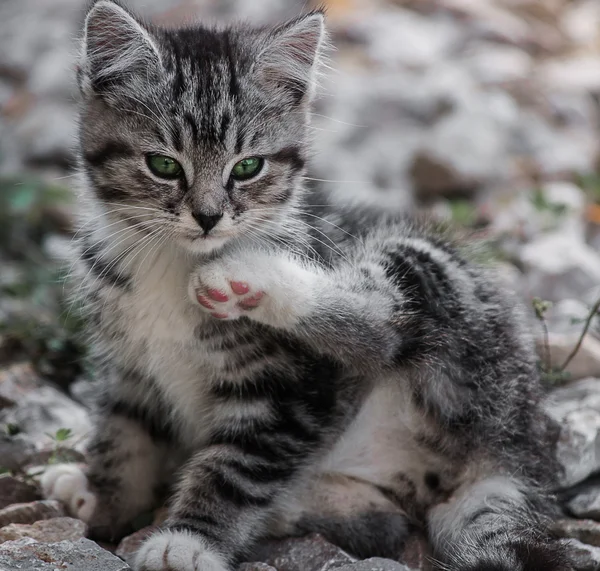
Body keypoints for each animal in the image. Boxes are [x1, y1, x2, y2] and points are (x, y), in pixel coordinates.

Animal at [43, 1, 572, 571]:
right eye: (163, 164)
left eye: (248, 167)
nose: (208, 217)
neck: (173, 261)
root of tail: (519, 440)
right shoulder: (129, 368)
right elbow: (124, 437)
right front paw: (104, 500)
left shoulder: (292, 392)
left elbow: (237, 467)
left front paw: (188, 539)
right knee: (384, 520)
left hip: (442, 284)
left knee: (385, 327)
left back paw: (249, 277)